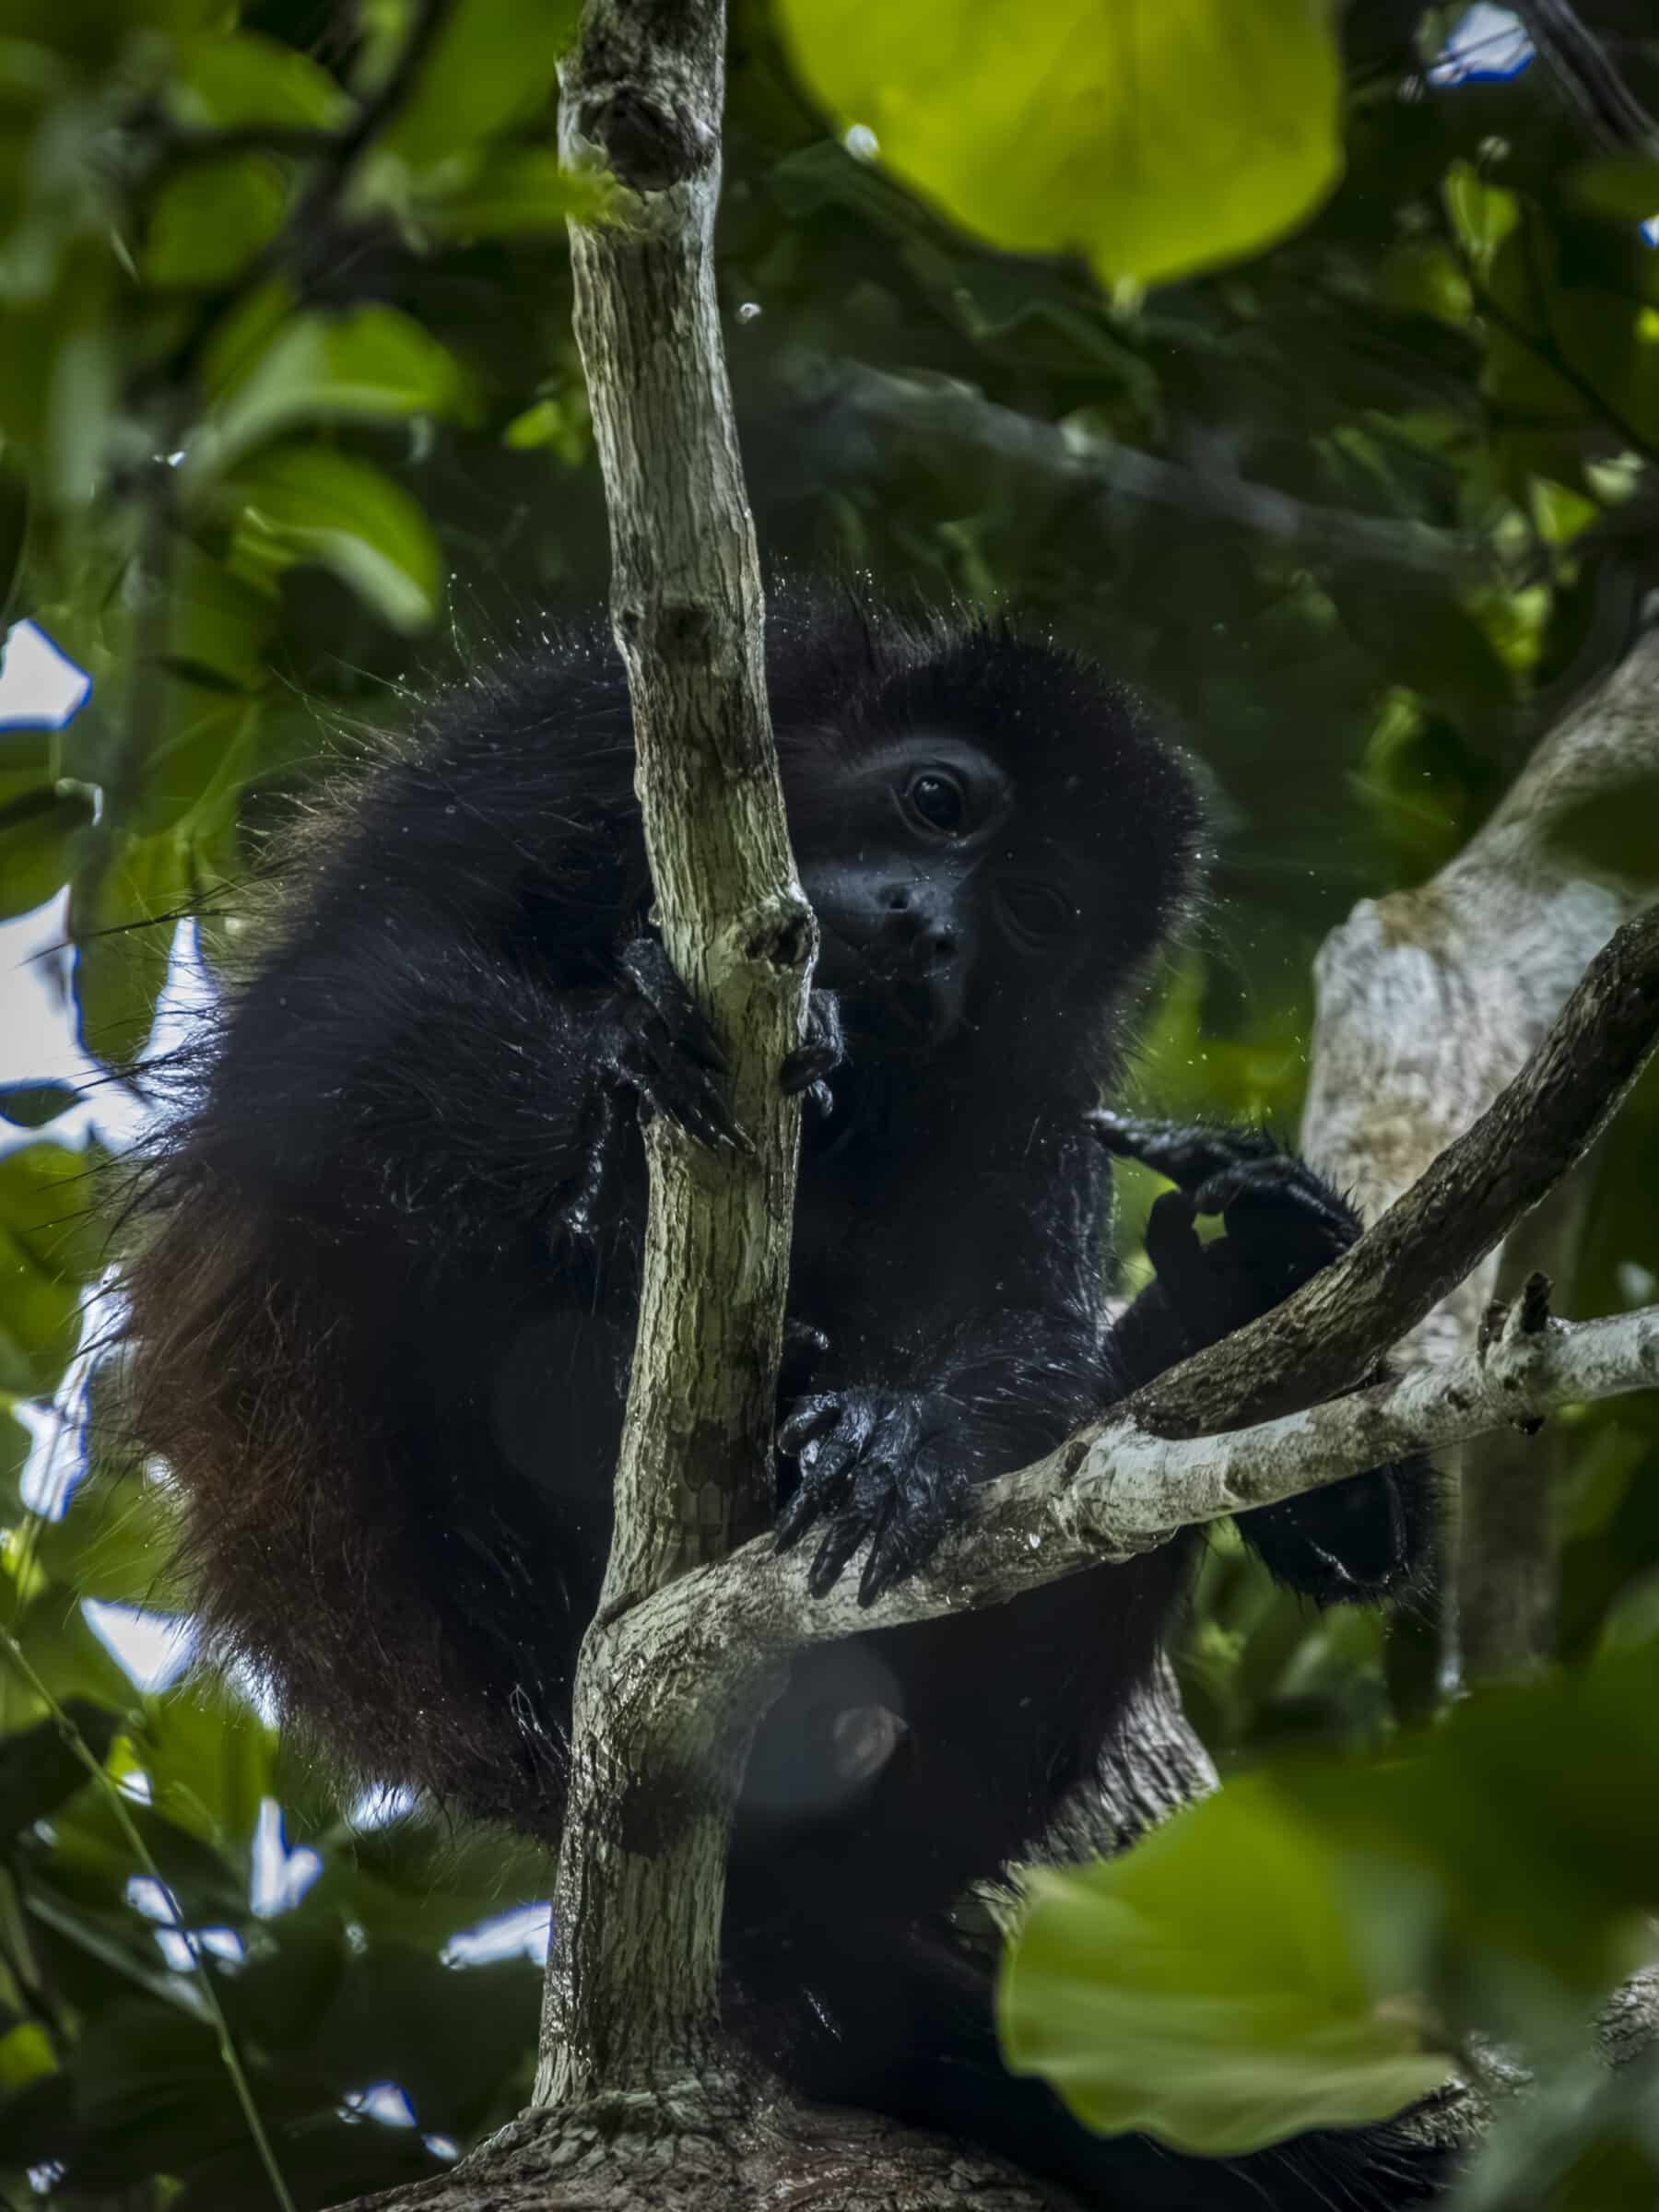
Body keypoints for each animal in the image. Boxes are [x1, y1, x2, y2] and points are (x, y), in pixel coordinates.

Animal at [123, 597, 1441, 2203]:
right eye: (938, 802)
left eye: (1038, 913)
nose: (932, 926)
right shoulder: (572, 726)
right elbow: (340, 993)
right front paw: (609, 1099)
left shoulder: (1056, 1050)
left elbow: (1012, 1299)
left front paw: (903, 1439)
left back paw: (1277, 1330)